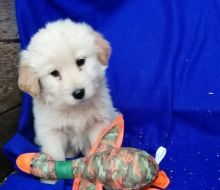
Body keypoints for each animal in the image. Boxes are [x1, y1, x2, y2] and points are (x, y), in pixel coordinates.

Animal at [17, 19, 117, 161]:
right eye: (54, 73)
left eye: (80, 61)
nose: (79, 93)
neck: (75, 108)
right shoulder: (51, 133)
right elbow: (55, 156)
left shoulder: (98, 123)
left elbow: (99, 143)